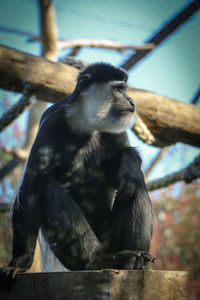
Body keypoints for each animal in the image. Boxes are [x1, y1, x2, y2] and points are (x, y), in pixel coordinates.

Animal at [0, 62, 155, 290]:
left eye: (125, 89)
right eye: (119, 89)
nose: (132, 101)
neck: (86, 123)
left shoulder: (116, 130)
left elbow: (123, 168)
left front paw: (128, 163)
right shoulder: (51, 124)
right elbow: (31, 187)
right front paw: (19, 262)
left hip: (112, 237)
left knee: (134, 183)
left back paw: (137, 257)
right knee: (49, 188)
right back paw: (100, 261)